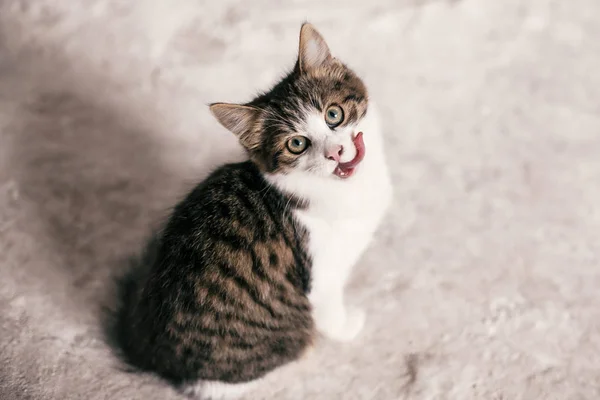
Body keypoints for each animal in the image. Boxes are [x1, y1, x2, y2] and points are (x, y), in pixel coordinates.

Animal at [115, 23, 392, 398]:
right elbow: (331, 311)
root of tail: (148, 351)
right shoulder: (322, 274)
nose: (334, 152)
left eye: (333, 114)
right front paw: (349, 327)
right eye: (297, 144)